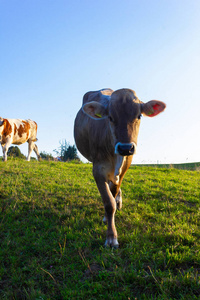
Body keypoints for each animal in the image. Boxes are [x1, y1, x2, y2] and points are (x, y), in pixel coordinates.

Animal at [73, 88, 166, 247]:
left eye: (139, 116)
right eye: (110, 117)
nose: (125, 148)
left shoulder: (124, 168)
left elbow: (114, 192)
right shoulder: (98, 169)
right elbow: (109, 202)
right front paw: (111, 237)